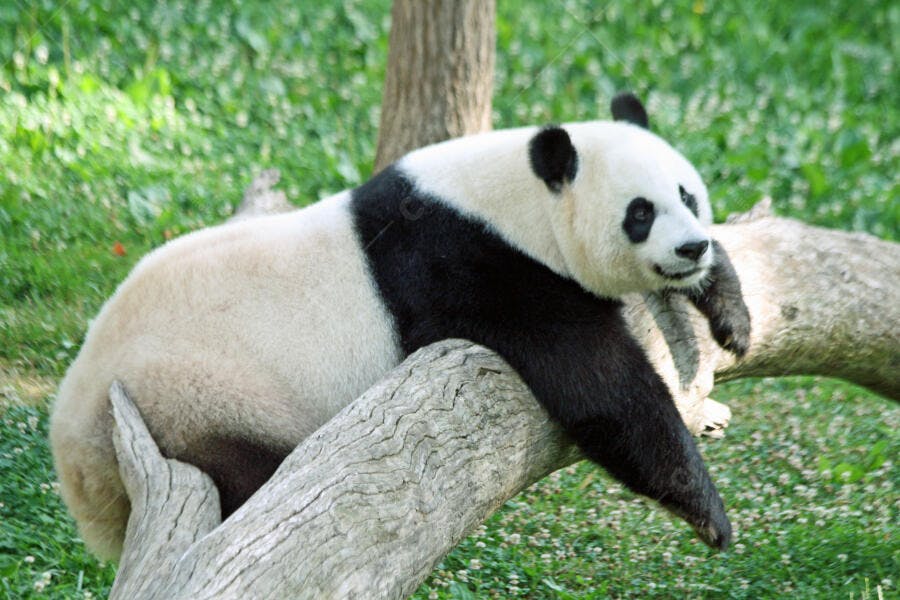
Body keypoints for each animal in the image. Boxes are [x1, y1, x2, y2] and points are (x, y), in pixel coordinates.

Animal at [50, 93, 750, 561]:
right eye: (640, 213)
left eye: (688, 195)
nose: (690, 246)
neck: (514, 199)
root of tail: (74, 455)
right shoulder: (472, 266)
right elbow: (600, 384)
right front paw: (707, 511)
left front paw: (729, 310)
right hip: (192, 398)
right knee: (249, 477)